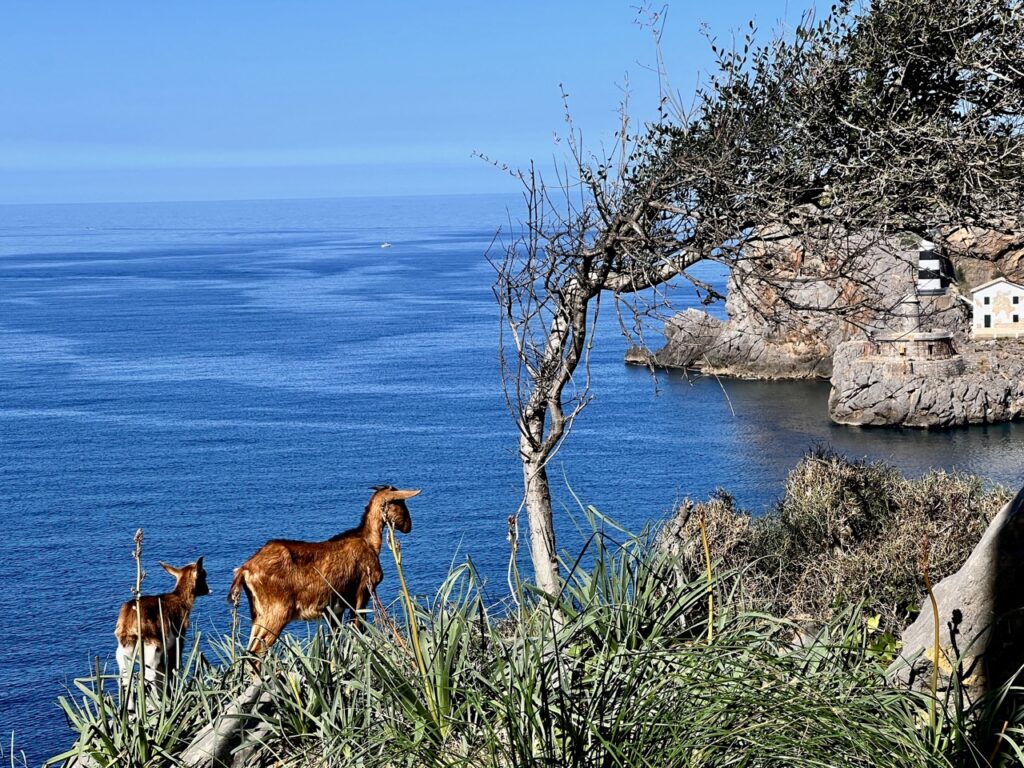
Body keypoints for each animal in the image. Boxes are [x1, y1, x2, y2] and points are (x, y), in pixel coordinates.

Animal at [114, 561, 209, 692]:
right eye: (204, 575)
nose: (208, 589)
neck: (180, 599)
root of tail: (129, 620)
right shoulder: (177, 640)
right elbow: (171, 669)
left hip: (125, 647)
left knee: (125, 676)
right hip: (153, 645)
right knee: (150, 676)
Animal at [227, 487, 415, 655]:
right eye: (401, 503)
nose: (408, 526)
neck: (368, 541)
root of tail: (245, 570)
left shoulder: (336, 608)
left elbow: (337, 640)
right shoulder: (363, 590)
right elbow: (358, 629)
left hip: (258, 614)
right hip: (276, 612)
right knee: (257, 651)